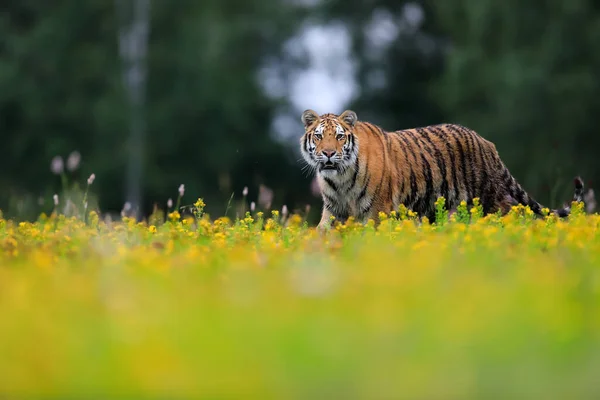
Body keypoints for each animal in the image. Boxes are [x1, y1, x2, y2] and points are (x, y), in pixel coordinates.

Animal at [300, 108, 584, 231]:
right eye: (319, 136)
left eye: (339, 137)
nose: (328, 153)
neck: (340, 178)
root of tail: (487, 144)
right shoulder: (334, 210)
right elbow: (320, 234)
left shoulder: (377, 211)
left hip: (492, 199)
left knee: (514, 215)